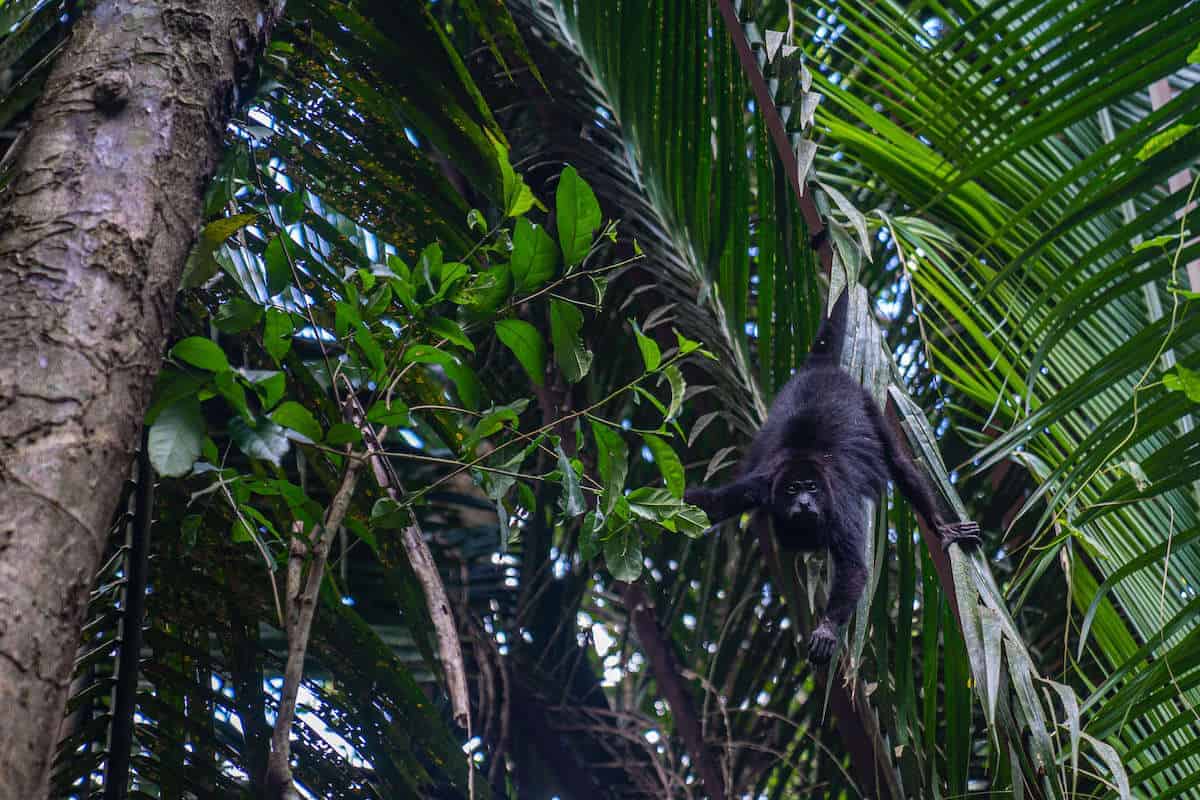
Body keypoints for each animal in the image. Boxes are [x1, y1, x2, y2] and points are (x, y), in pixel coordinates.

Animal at [691, 289, 979, 662]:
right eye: (792, 490)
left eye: (811, 488)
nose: (803, 502)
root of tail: (821, 368)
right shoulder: (759, 486)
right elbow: (709, 504)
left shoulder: (838, 501)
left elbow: (854, 567)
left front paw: (827, 629)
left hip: (867, 401)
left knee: (899, 463)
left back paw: (940, 526)